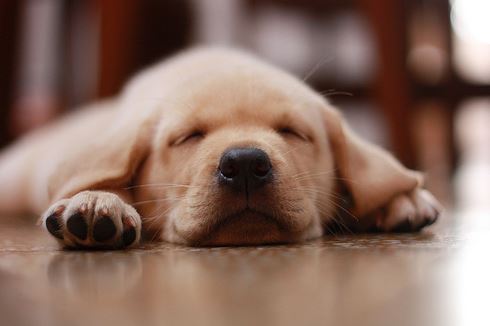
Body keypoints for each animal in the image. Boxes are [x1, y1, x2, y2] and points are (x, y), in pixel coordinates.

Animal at [0, 47, 440, 247]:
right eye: (188, 137)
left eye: (293, 132)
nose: (245, 163)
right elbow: (105, 176)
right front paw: (96, 202)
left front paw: (401, 200)